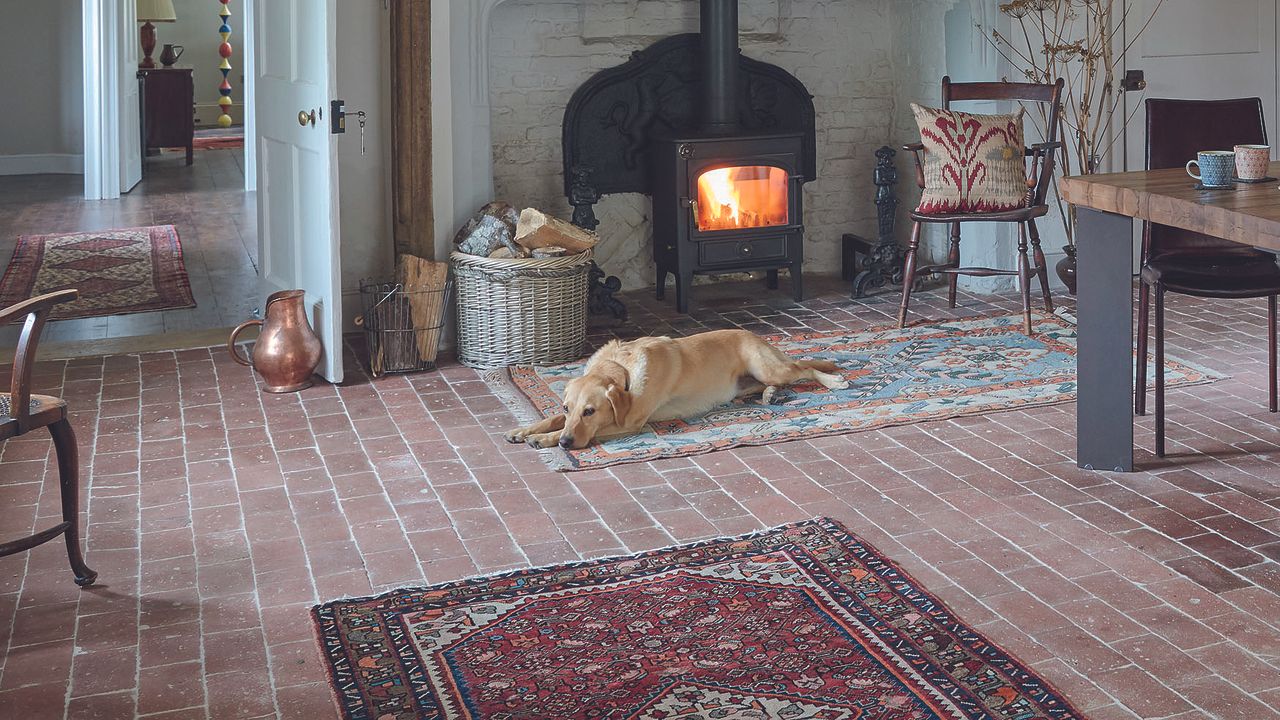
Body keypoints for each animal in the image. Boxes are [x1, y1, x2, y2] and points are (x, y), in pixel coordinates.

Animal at [501, 326, 849, 448]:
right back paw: (769, 395)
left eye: (590, 411)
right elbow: (552, 419)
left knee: (806, 367)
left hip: (768, 367)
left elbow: (583, 430)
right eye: (568, 407)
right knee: (764, 386)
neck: (621, 367)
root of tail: (756, 335)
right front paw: (524, 430)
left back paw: (833, 380)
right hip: (749, 382)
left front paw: (545, 439)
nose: (566, 444)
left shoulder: (630, 422)